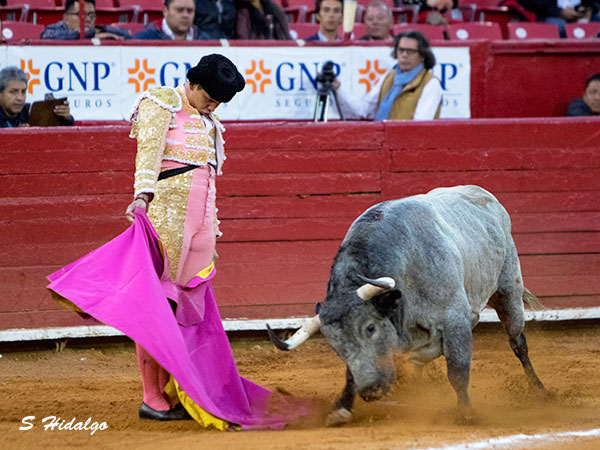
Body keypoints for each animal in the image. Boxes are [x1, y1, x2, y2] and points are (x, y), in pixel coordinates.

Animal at [267, 185, 546, 426]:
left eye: (370, 328)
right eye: (334, 345)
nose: (370, 390)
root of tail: (486, 195)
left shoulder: (454, 318)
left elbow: (457, 369)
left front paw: (466, 413)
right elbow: (352, 371)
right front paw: (341, 408)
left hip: (508, 291)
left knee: (517, 341)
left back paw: (540, 390)